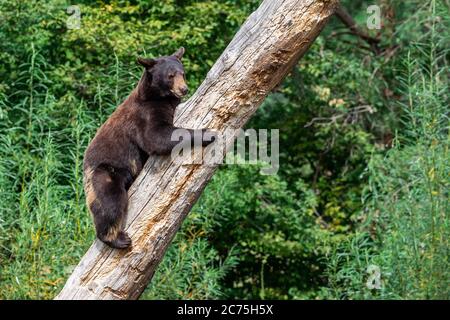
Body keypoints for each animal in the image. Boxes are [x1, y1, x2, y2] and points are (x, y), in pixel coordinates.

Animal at [84, 47, 214, 249]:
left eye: (183, 73)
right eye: (170, 76)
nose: (183, 89)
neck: (158, 97)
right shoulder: (144, 114)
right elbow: (156, 137)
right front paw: (208, 133)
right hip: (105, 172)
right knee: (111, 201)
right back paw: (117, 238)